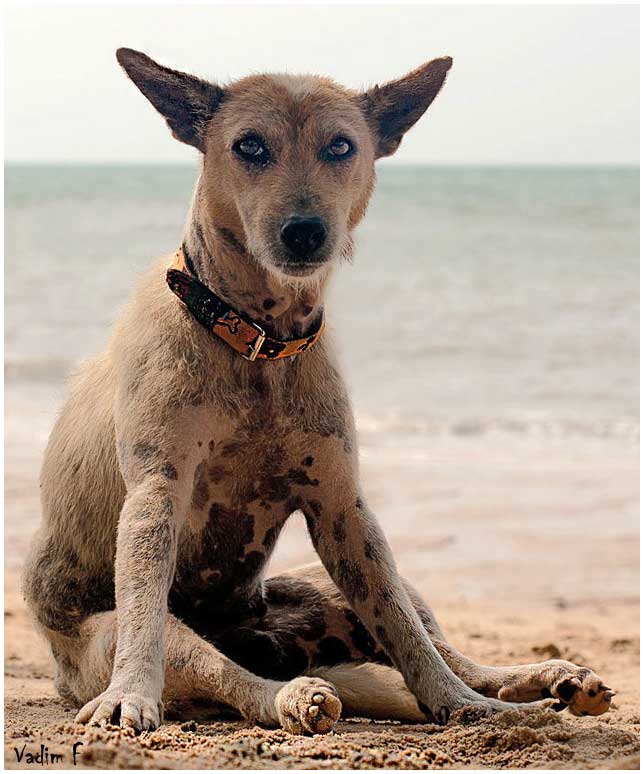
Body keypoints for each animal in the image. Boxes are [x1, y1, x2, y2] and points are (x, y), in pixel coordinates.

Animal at [21, 48, 612, 732]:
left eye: (340, 146)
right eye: (249, 146)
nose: (305, 230)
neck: (256, 343)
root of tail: (260, 640)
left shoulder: (344, 513)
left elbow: (408, 638)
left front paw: (459, 706)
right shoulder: (155, 498)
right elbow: (146, 617)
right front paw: (131, 696)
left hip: (346, 586)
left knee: (443, 647)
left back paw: (535, 684)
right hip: (132, 634)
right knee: (227, 676)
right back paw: (293, 695)